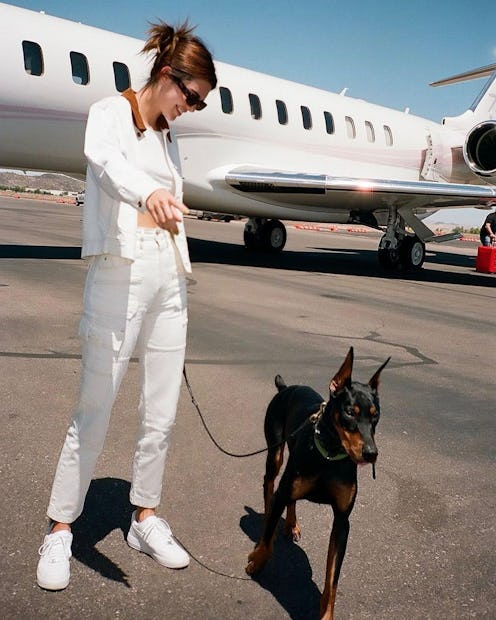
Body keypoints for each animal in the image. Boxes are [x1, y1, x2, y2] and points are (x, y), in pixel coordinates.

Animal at [246, 346, 390, 616]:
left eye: (375, 416)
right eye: (349, 412)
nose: (371, 453)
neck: (330, 456)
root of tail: (287, 387)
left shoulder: (342, 521)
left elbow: (332, 579)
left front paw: (326, 613)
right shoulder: (285, 489)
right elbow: (268, 541)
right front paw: (256, 561)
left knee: (291, 499)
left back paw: (292, 524)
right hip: (276, 452)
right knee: (270, 486)